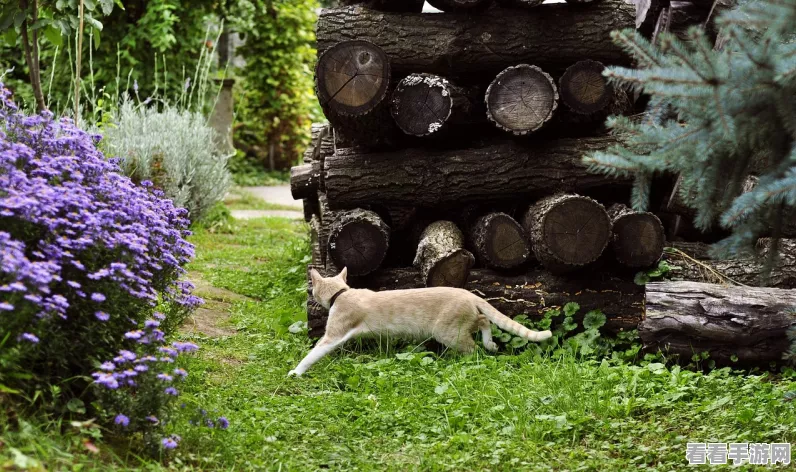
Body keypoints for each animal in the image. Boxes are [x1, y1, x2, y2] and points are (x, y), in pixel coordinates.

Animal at [288, 270, 552, 376]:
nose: (310, 294)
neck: (342, 293)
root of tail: (467, 293)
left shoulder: (333, 334)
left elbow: (312, 354)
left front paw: (295, 372)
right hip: (461, 324)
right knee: (484, 319)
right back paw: (491, 344)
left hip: (448, 332)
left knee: (473, 347)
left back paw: (474, 356)